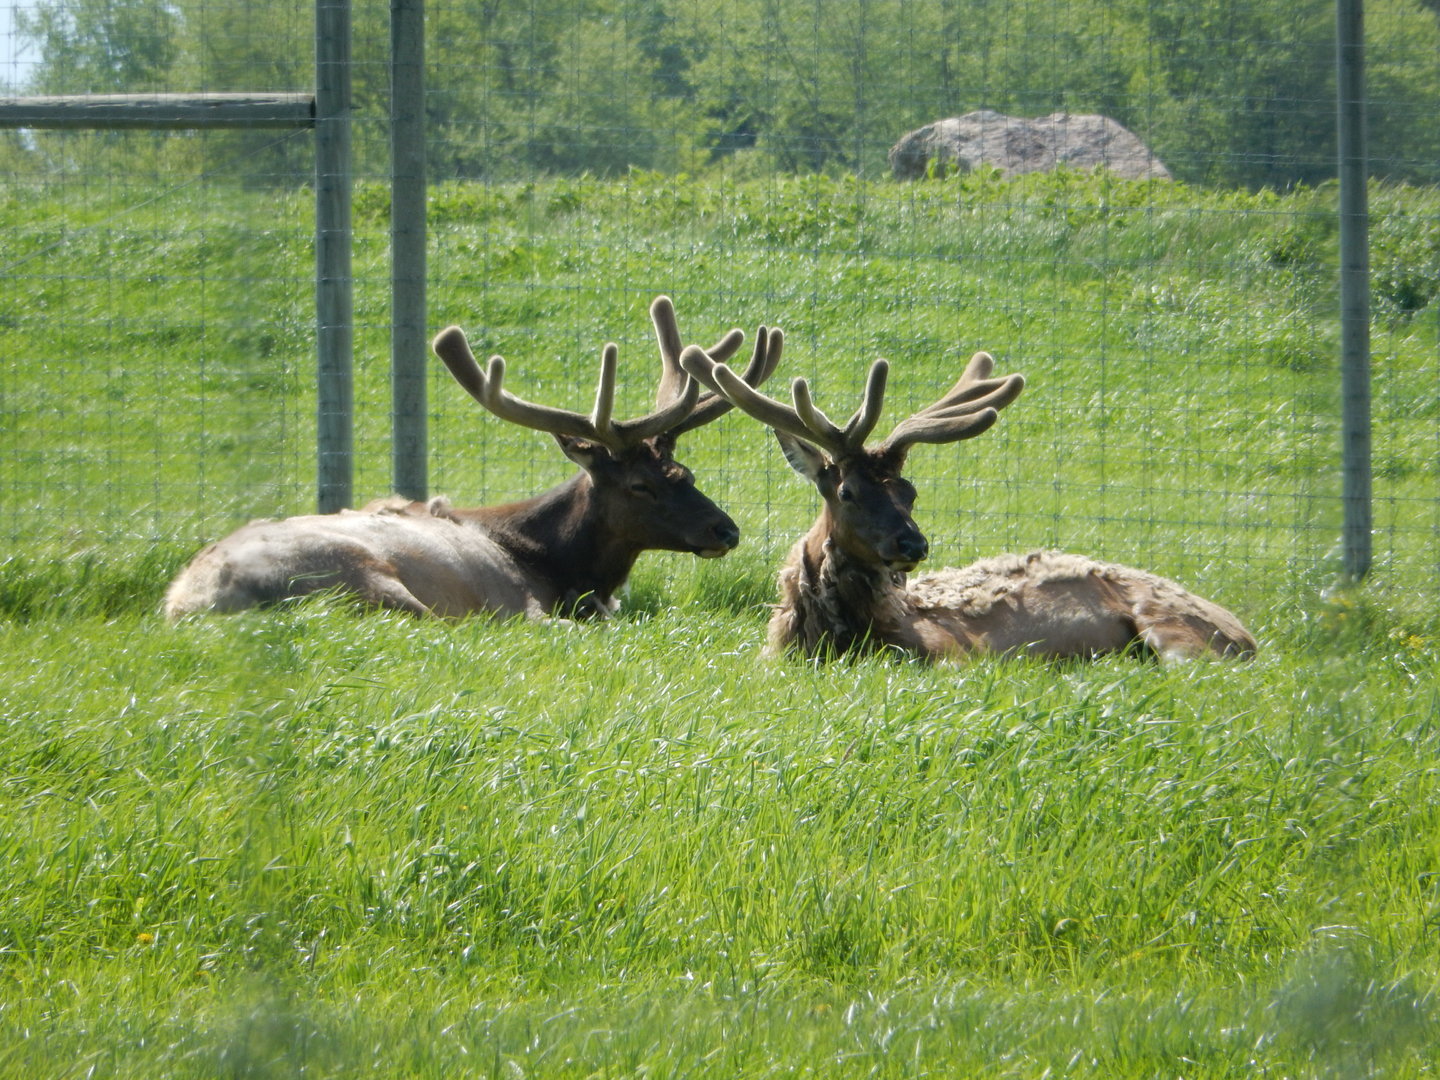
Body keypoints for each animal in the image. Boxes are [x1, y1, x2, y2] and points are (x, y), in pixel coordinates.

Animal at [164, 297, 783, 621]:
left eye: (685, 473)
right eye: (640, 486)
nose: (725, 530)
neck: (563, 565)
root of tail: (189, 603)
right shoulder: (527, 601)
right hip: (362, 581)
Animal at [679, 344, 1257, 663]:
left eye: (910, 491)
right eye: (847, 491)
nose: (912, 542)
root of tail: (1246, 632)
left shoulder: (955, 654)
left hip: (1178, 636)